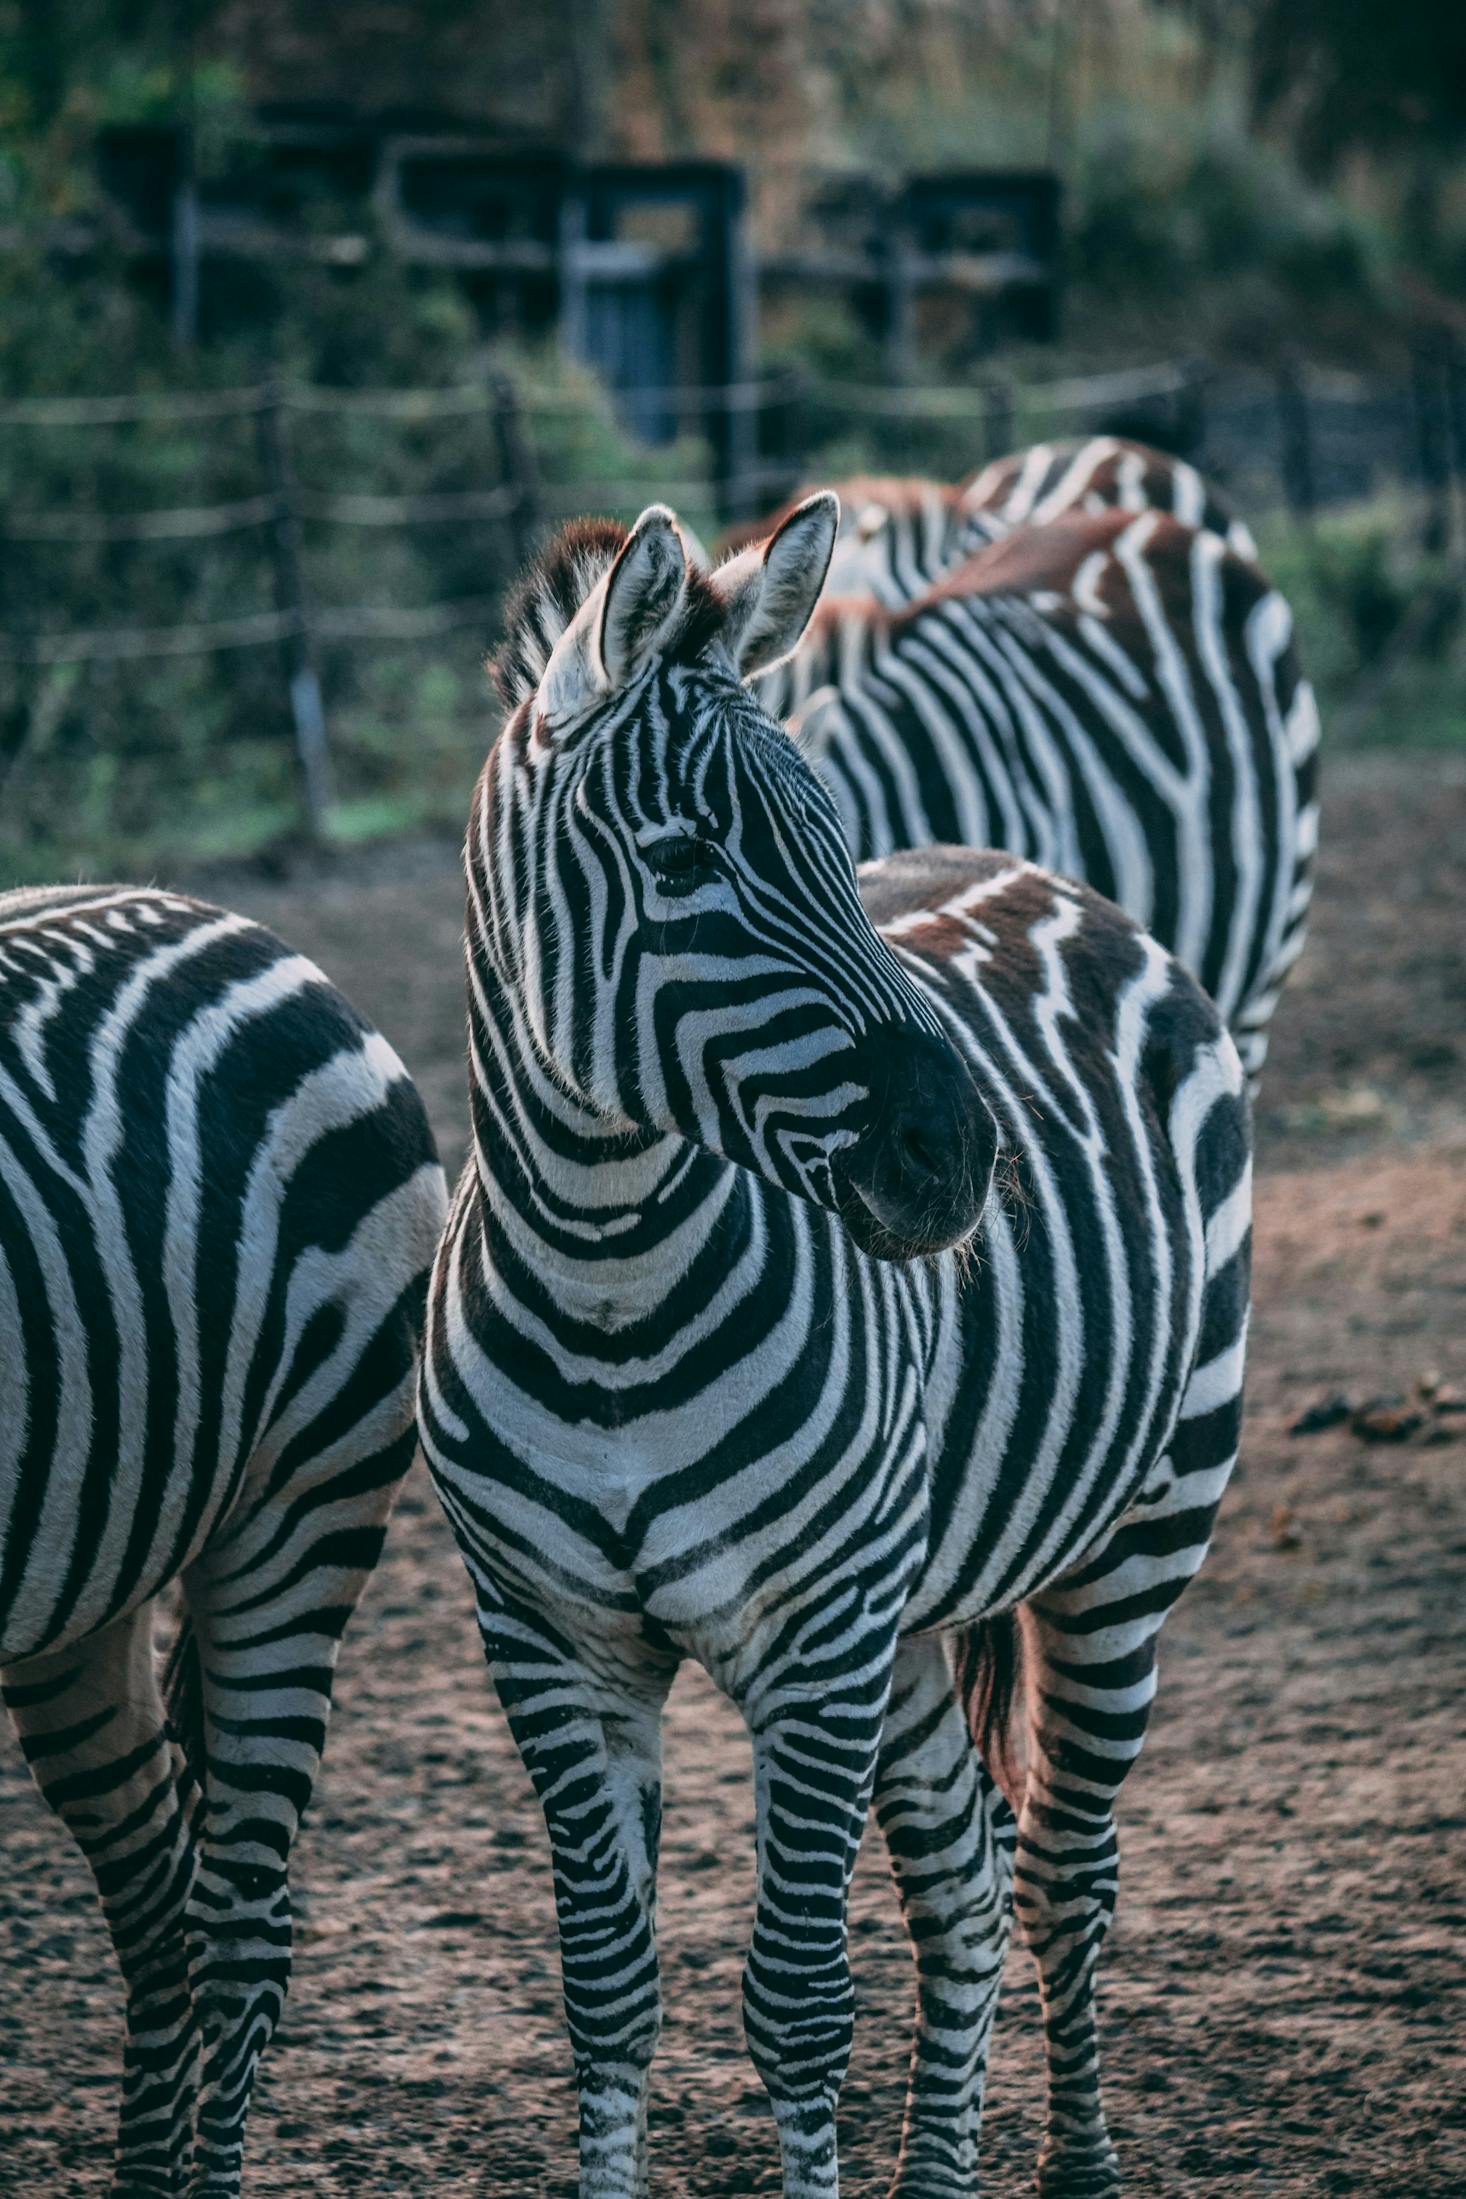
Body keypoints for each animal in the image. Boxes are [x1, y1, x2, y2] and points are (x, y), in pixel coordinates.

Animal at [417, 499, 1257, 2199]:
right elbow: (607, 1987)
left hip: (1133, 1538)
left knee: (1066, 1862)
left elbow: (798, 1998)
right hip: (918, 1608)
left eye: (828, 840)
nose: (961, 1161)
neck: (604, 1290)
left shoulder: (812, 1633)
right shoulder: (544, 1637)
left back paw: (1078, 2160)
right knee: (969, 1882)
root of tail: (1046, 873)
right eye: (683, 860)